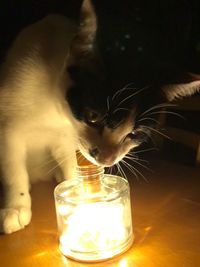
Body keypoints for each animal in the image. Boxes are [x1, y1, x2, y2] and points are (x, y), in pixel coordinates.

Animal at [0, 0, 199, 234]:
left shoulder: (65, 137)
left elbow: (70, 160)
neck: (53, 107)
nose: (107, 159)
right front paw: (15, 206)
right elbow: (13, 169)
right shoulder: (8, 127)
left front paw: (83, 196)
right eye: (93, 117)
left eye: (134, 134)